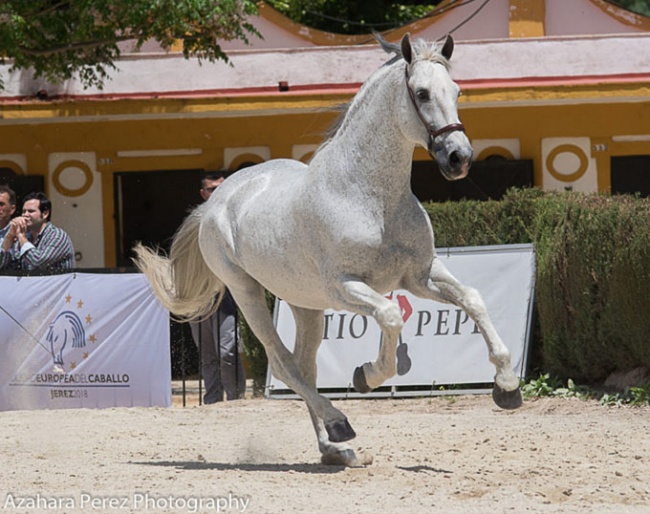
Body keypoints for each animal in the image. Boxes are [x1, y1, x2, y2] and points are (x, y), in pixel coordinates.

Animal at [135, 32, 520, 464]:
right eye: (421, 93)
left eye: (456, 91)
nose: (459, 158)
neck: (370, 197)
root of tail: (216, 201)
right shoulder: (346, 287)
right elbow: (391, 317)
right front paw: (367, 375)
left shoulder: (420, 276)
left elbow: (473, 300)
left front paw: (507, 387)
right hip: (246, 292)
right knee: (284, 365)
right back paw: (339, 424)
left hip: (305, 303)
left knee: (304, 366)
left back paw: (334, 449)